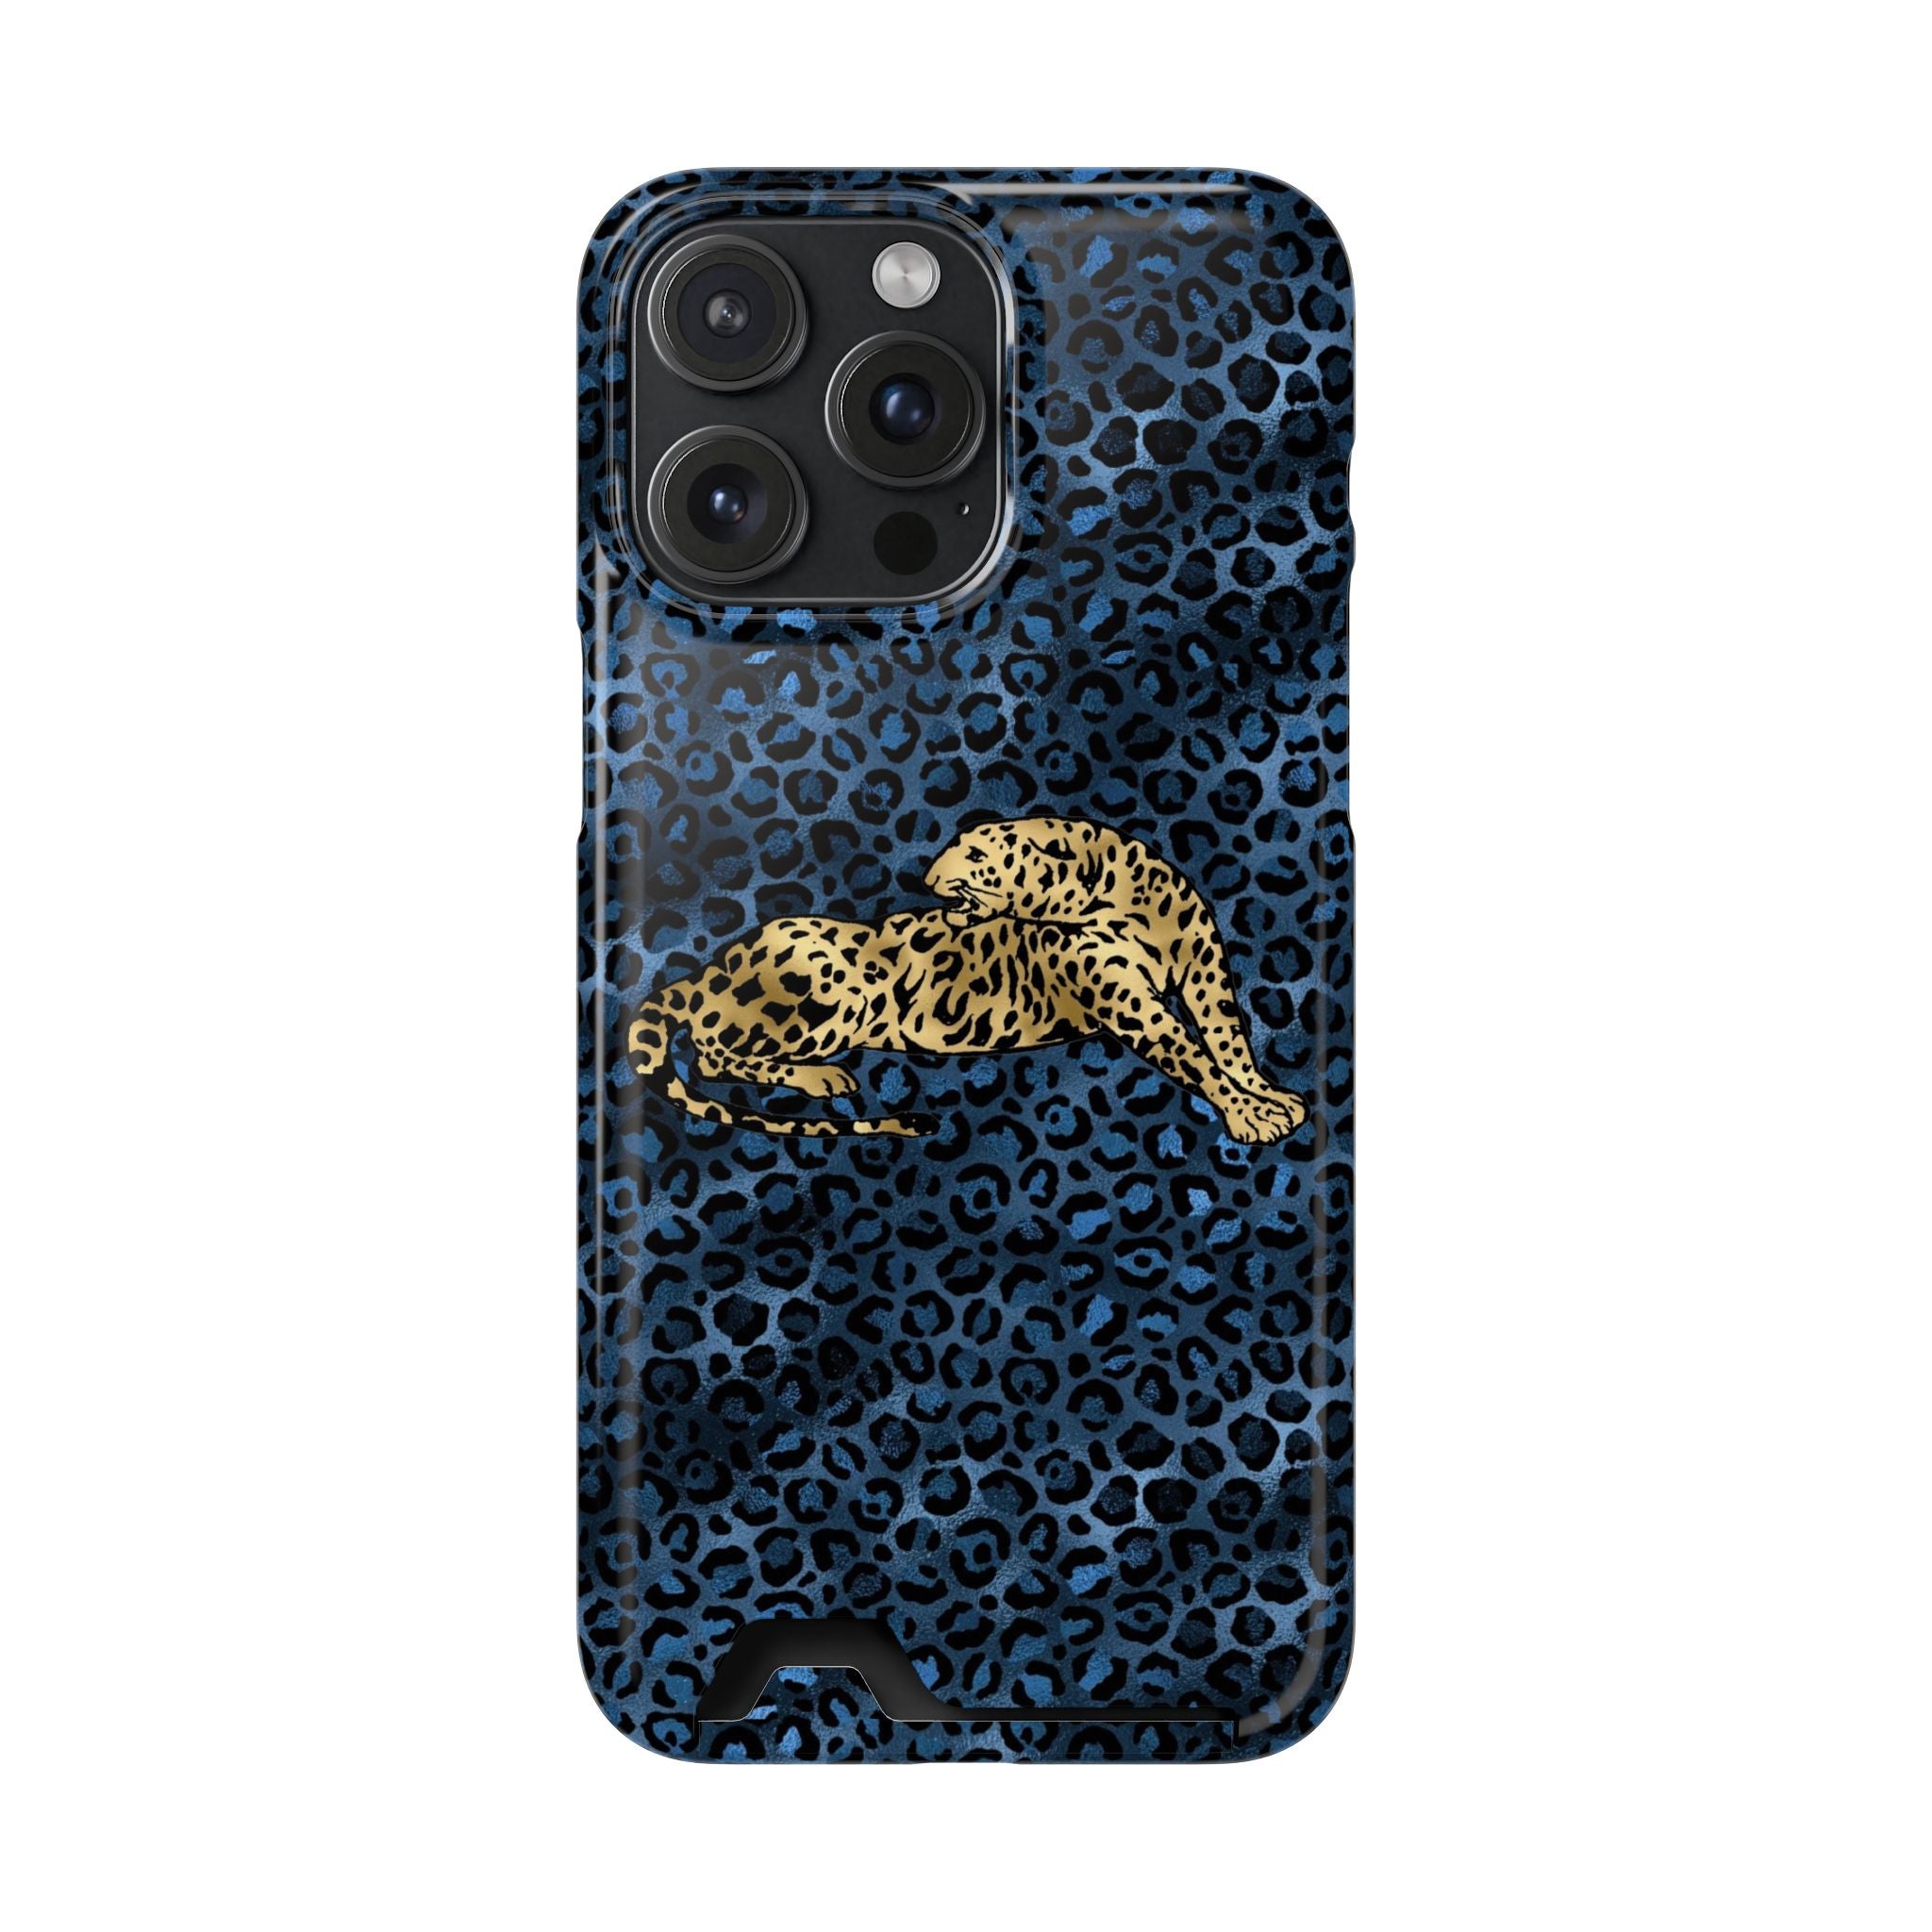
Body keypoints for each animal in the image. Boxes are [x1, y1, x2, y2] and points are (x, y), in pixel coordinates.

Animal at [626, 816, 1307, 1144]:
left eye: (977, 856)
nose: (927, 879)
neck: (1125, 900)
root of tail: (714, 966)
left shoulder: (1205, 971)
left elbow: (1228, 1040)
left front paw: (1269, 1095)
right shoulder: (1132, 1003)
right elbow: (1191, 1055)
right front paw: (1251, 1117)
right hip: (838, 989)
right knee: (711, 1054)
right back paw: (822, 1077)